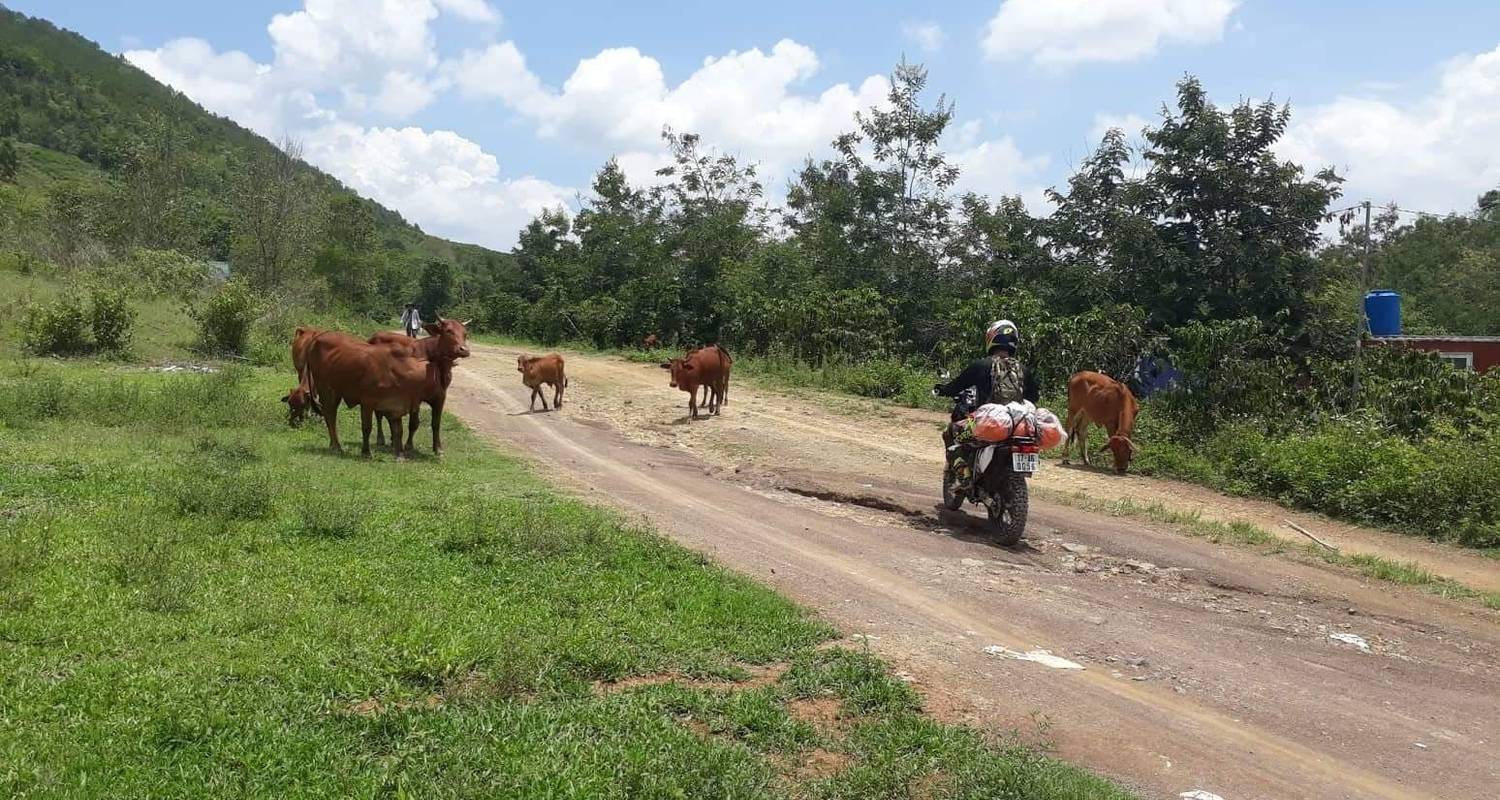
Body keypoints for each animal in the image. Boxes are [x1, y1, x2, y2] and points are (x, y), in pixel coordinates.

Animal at [301, 316, 471, 456]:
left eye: (465, 333)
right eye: (448, 331)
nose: (464, 349)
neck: (434, 362)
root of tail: (316, 339)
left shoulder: (439, 397)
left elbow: (435, 424)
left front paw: (438, 449)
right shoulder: (413, 398)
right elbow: (412, 423)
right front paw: (407, 446)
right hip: (326, 389)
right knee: (332, 414)